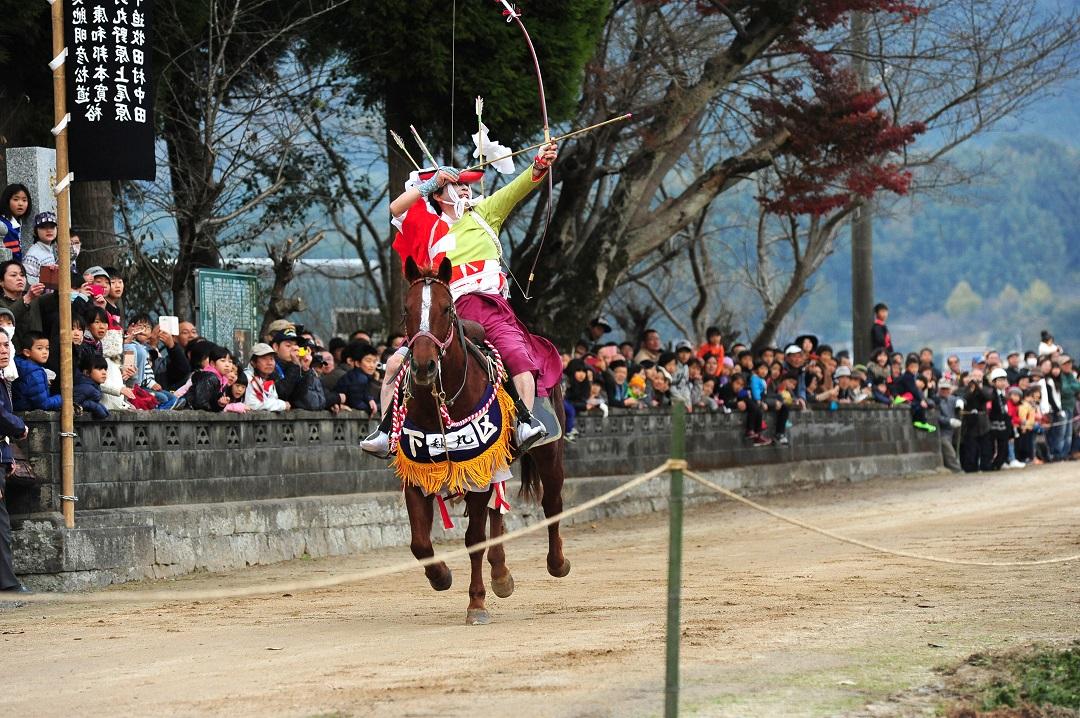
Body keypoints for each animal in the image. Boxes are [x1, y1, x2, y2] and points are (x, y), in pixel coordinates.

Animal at [393, 255, 570, 621]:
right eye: (407, 308)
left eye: (446, 309)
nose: (423, 366)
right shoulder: (418, 470)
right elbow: (420, 543)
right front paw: (440, 576)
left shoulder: (477, 466)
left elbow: (474, 537)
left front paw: (476, 603)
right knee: (497, 511)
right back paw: (500, 573)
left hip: (549, 451)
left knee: (551, 502)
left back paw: (557, 562)